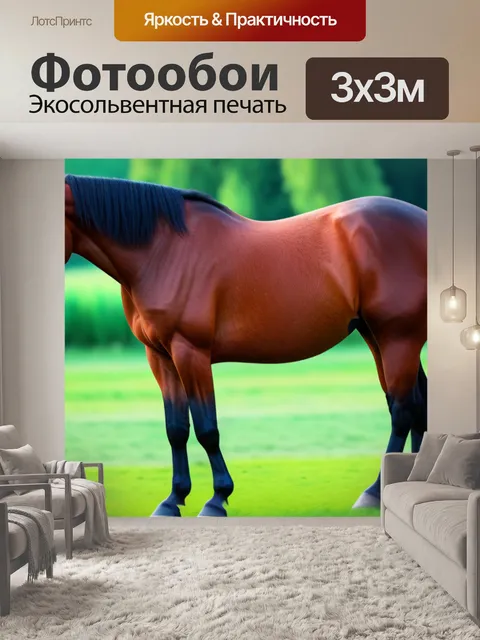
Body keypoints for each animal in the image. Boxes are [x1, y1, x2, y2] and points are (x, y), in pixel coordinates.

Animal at [64, 174, 427, 517]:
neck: (163, 252)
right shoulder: (160, 357)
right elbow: (176, 429)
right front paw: (172, 500)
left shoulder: (190, 352)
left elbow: (207, 428)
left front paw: (217, 499)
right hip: (379, 336)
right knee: (416, 404)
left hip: (399, 337)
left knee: (401, 410)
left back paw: (374, 492)